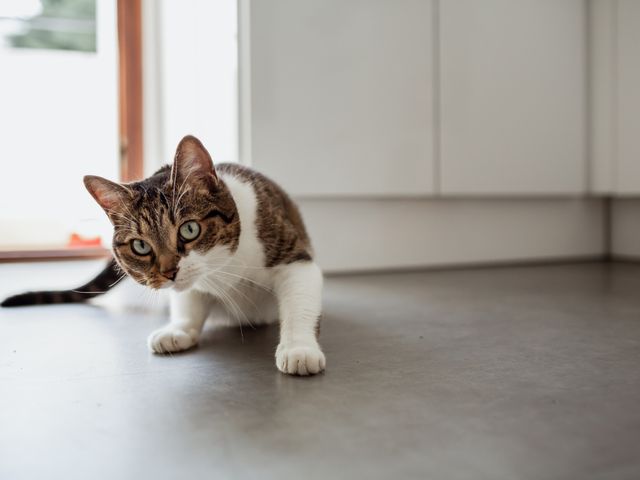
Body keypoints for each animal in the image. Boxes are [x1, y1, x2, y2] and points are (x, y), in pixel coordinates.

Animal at [2, 134, 324, 376]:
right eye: (140, 246)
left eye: (190, 229)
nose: (169, 272)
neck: (223, 266)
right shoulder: (192, 283)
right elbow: (189, 300)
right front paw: (178, 330)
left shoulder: (289, 251)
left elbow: (299, 298)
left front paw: (299, 348)